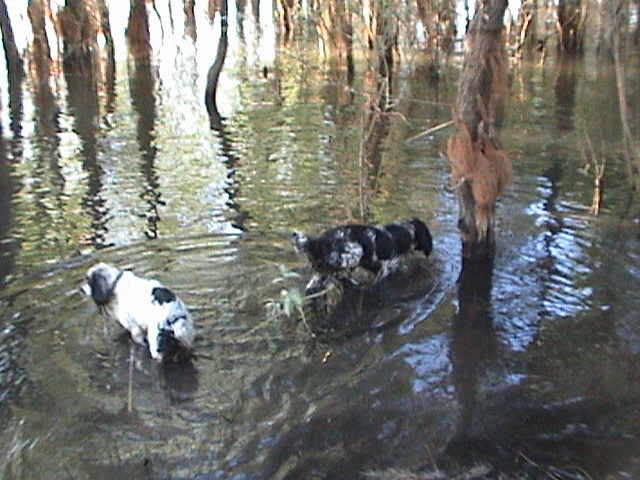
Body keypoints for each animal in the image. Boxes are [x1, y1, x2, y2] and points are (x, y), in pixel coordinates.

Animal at [292, 218, 432, 292]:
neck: (405, 231)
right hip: (355, 252)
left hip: (320, 273)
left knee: (312, 284)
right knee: (340, 271)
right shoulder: (384, 268)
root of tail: (318, 241)